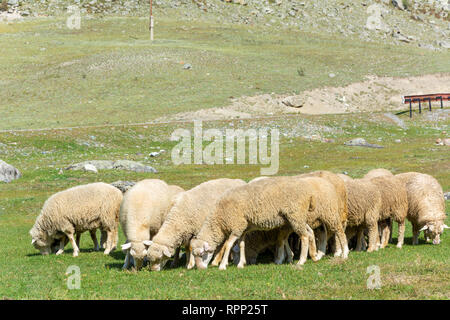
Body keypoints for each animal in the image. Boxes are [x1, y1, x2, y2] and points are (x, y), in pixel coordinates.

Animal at [192, 175, 350, 270]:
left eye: (201, 254)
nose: (200, 269)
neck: (219, 219)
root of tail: (309, 193)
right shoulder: (243, 228)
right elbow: (241, 245)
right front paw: (241, 263)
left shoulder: (237, 225)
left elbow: (228, 245)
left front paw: (223, 265)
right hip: (296, 218)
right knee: (309, 232)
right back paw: (314, 256)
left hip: (306, 214)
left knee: (321, 233)